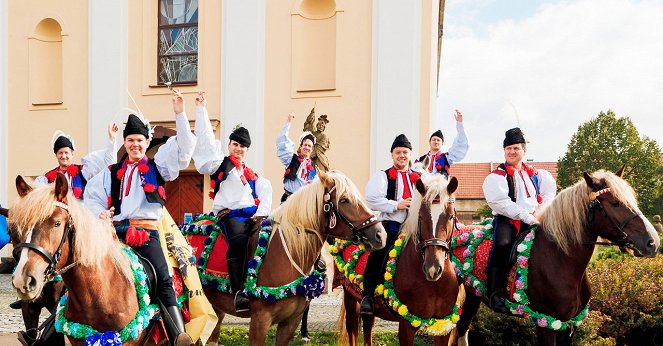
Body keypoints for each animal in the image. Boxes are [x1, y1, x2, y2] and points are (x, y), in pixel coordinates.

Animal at [340, 176, 464, 346]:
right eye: (420, 217)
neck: (433, 285)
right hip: (350, 298)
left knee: (368, 326)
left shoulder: (443, 326)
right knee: (352, 329)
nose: (433, 268)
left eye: (451, 216)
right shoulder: (406, 326)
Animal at [454, 168, 660, 346]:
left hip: (473, 297)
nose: (652, 242)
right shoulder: (546, 323)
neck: (561, 261)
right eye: (615, 203)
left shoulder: (569, 325)